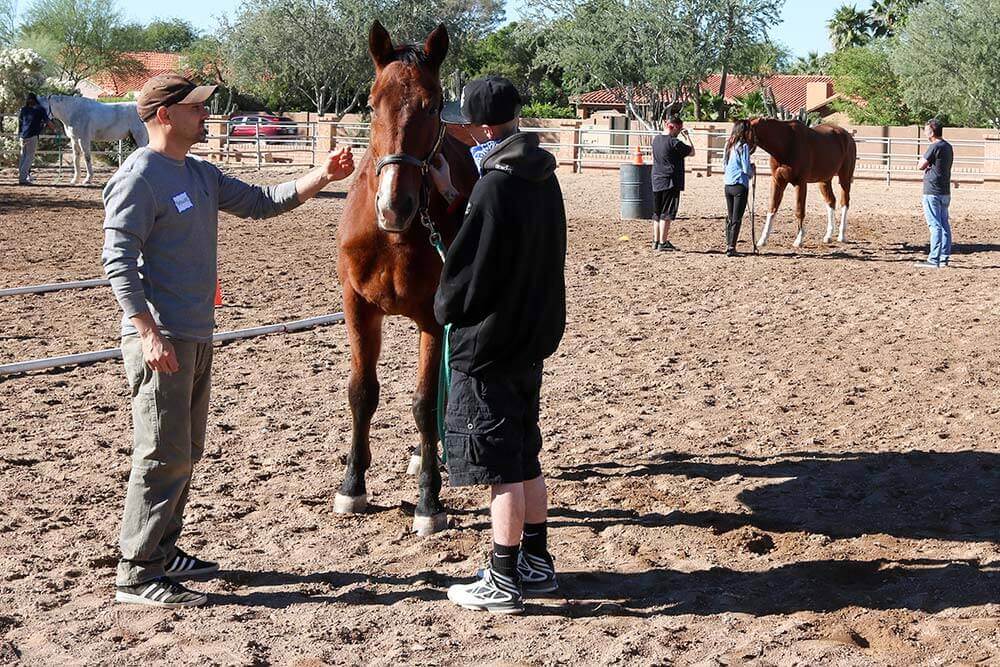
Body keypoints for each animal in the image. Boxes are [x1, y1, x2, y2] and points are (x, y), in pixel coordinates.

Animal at [334, 22, 478, 536]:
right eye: (371, 103)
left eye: (433, 105)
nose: (395, 205)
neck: (394, 237)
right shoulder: (358, 309)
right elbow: (362, 393)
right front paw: (352, 484)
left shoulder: (434, 320)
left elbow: (424, 402)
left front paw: (428, 501)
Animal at [752, 118, 856, 248]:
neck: (786, 143)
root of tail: (848, 136)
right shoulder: (777, 181)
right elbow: (772, 208)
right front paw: (763, 239)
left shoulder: (801, 183)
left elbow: (799, 210)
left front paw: (799, 240)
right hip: (824, 180)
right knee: (831, 201)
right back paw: (828, 236)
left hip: (844, 179)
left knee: (844, 202)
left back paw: (841, 236)